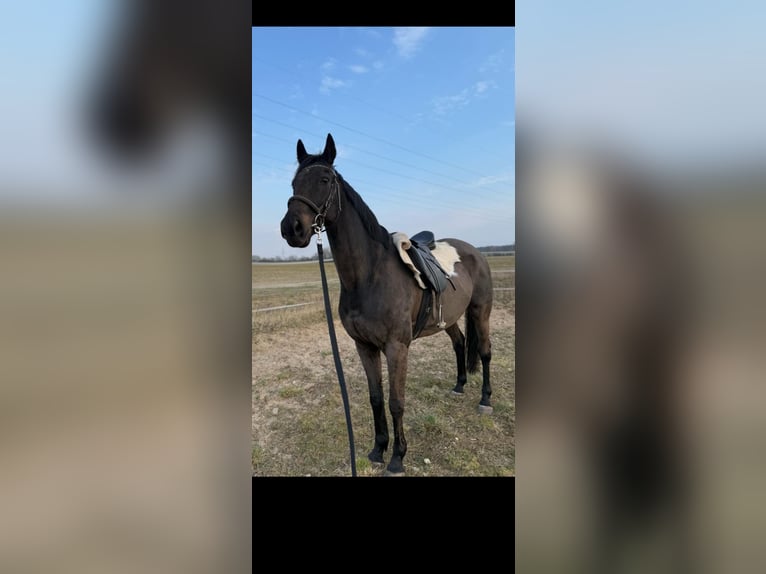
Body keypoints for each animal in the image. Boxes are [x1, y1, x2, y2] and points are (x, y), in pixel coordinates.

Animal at [280, 133, 494, 476]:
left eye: (325, 179)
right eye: (294, 183)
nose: (292, 229)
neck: (369, 275)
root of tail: (474, 251)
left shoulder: (396, 347)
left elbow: (396, 402)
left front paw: (397, 457)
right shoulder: (364, 346)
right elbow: (376, 398)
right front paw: (378, 449)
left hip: (480, 311)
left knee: (485, 352)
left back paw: (485, 400)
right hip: (449, 319)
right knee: (460, 343)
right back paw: (459, 385)